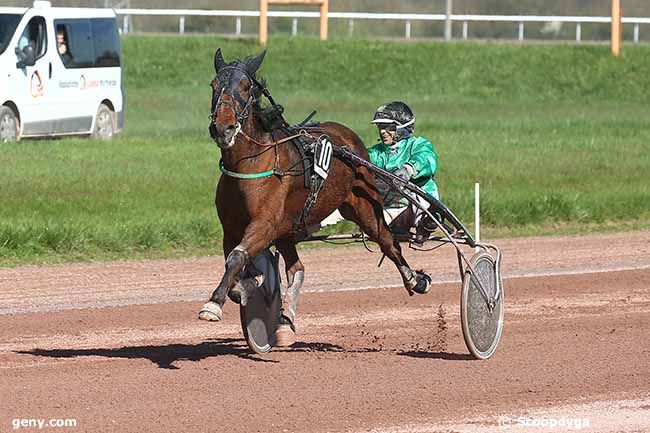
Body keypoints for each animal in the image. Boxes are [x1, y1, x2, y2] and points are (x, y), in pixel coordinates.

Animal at [197, 48, 430, 344]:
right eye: (214, 85)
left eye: (246, 86)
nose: (223, 128)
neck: (249, 164)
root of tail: (349, 139)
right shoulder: (233, 228)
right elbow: (237, 261)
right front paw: (248, 285)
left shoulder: (265, 223)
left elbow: (237, 258)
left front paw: (213, 304)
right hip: (288, 227)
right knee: (297, 269)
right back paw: (285, 322)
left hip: (364, 208)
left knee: (389, 244)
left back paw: (415, 280)